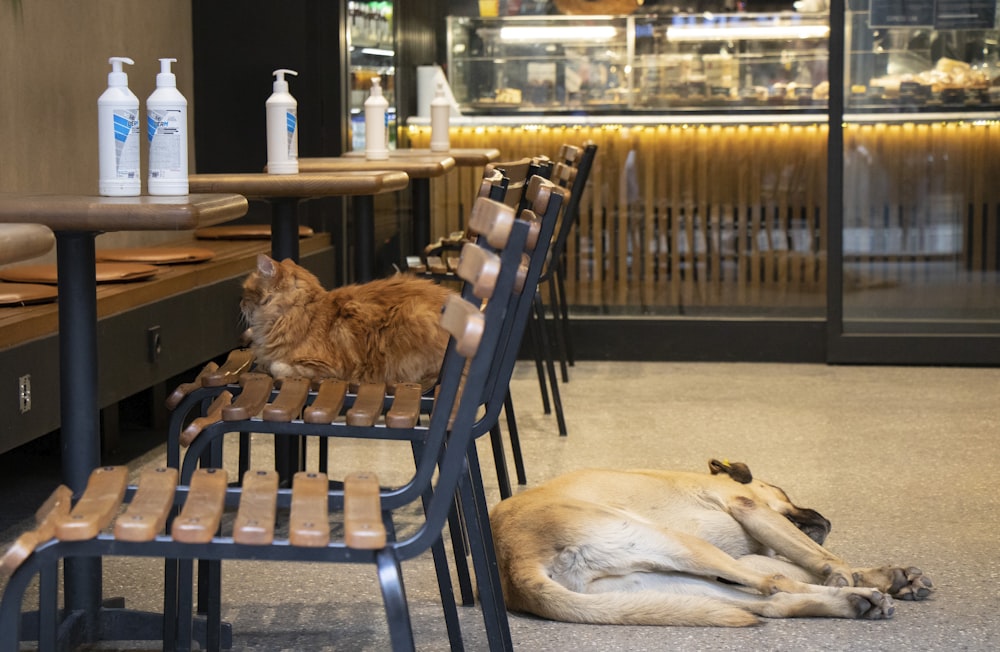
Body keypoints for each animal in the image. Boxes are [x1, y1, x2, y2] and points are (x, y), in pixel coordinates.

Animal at [488, 458, 932, 628]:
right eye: (784, 493)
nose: (826, 519)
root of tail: (513, 562)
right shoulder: (750, 509)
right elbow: (823, 559)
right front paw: (858, 576)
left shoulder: (754, 549)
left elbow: (806, 562)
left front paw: (891, 576)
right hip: (683, 546)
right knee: (774, 585)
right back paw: (858, 596)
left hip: (665, 583)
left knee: (769, 601)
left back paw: (857, 602)